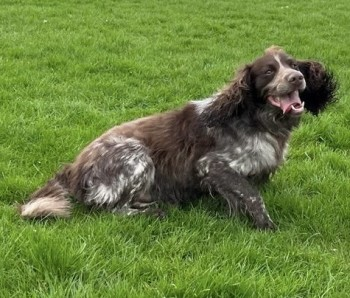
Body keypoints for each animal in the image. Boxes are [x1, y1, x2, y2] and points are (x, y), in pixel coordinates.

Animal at [19, 46, 336, 230]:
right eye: (269, 71)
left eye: (293, 65)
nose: (296, 77)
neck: (257, 119)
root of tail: (73, 168)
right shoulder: (211, 165)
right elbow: (251, 194)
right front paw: (265, 225)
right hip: (137, 155)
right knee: (111, 210)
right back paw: (153, 212)